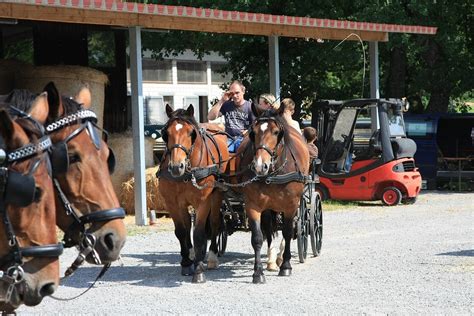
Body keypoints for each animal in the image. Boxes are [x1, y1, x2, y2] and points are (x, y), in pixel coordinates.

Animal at [157, 104, 230, 284]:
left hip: (217, 194)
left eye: (191, 133)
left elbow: (198, 234)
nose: (177, 167)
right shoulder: (172, 202)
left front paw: (198, 271)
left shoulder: (203, 201)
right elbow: (181, 231)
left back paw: (211, 257)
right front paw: (186, 263)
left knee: (215, 223)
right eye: (166, 133)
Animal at [236, 107, 310, 284]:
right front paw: (258, 273)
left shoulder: (291, 205)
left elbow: (288, 233)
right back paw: (271, 260)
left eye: (276, 132)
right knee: (269, 229)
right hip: (268, 208)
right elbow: (257, 237)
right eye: (253, 132)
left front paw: (286, 266)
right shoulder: (252, 205)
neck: (272, 174)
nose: (259, 166)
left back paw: (281, 258)